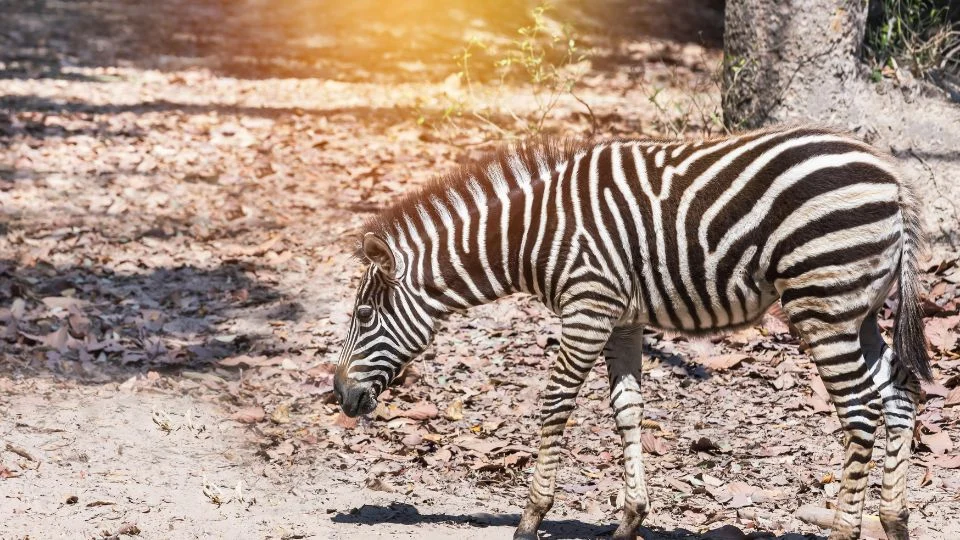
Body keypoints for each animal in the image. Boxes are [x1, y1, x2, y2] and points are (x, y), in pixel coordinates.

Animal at [333, 125, 930, 540]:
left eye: (363, 316)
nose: (339, 395)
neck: (531, 236)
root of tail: (893, 181)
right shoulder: (621, 318)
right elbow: (628, 408)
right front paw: (631, 518)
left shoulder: (587, 307)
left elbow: (555, 404)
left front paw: (530, 517)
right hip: (860, 310)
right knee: (899, 396)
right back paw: (894, 519)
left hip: (823, 303)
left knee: (861, 411)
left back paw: (845, 529)